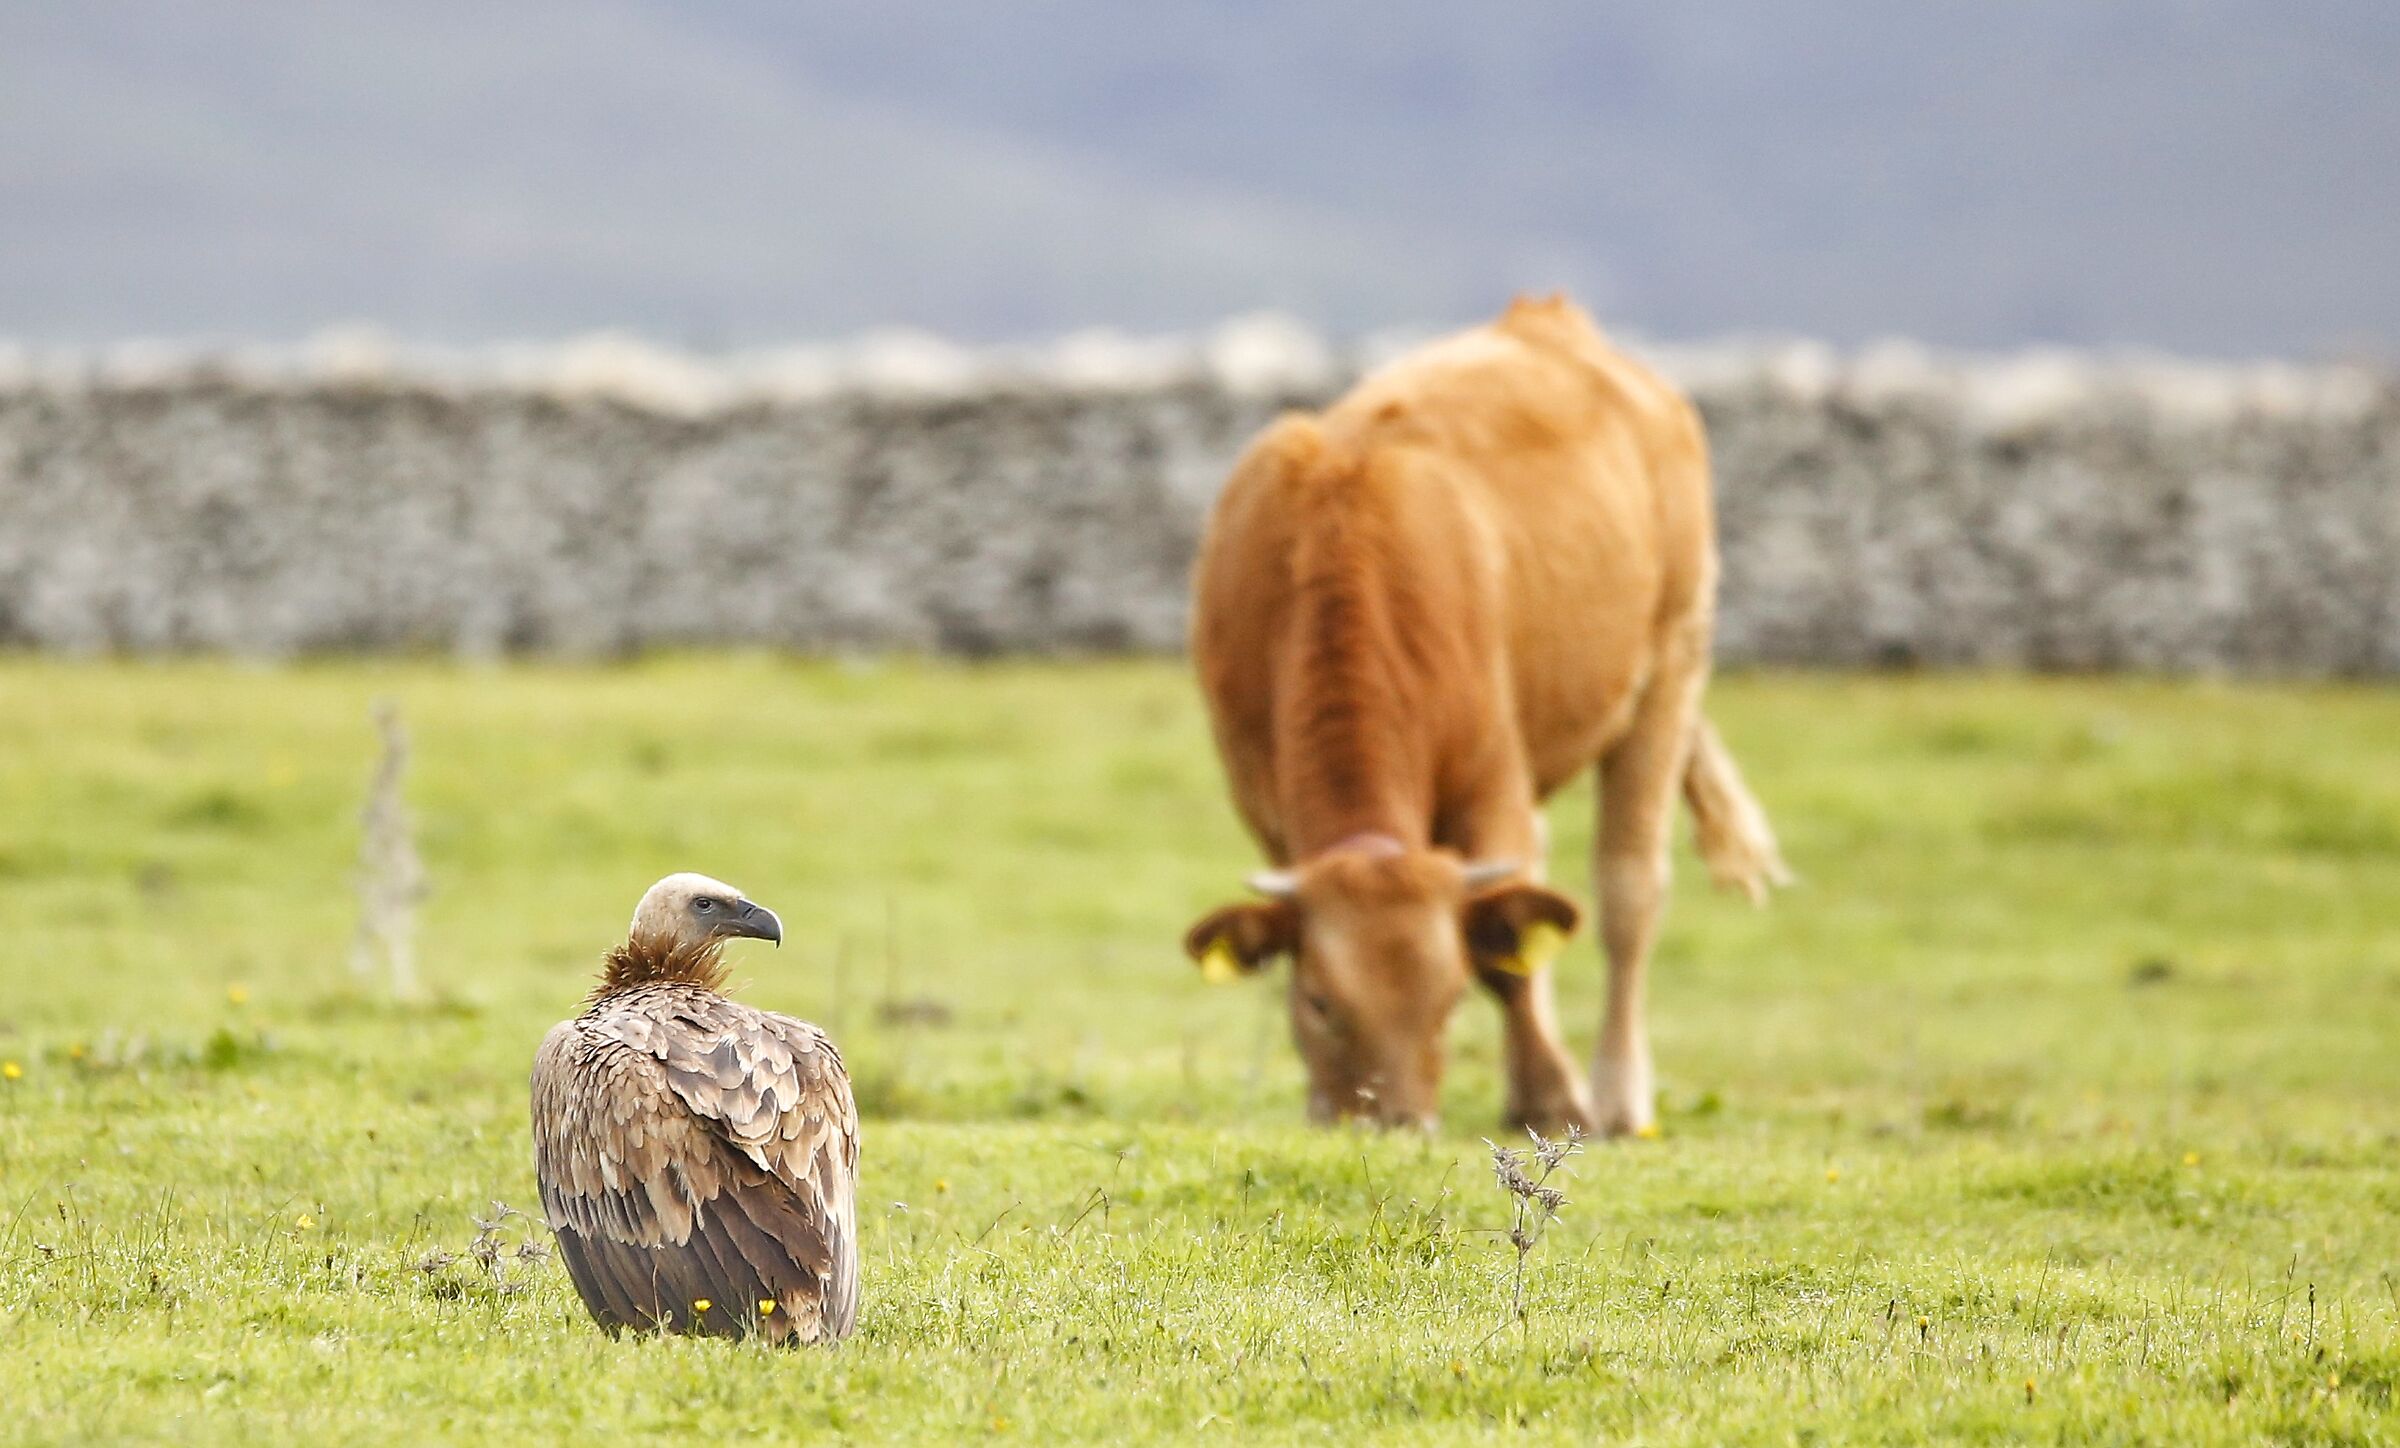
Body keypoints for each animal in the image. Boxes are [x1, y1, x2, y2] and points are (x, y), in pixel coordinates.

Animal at [1182, 295, 1788, 1135]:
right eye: (1320, 1002)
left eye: (1448, 999)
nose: (1392, 1122)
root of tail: (1549, 318)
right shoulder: (1262, 794)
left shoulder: (1492, 779)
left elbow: (1510, 957)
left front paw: (1551, 1098)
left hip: (1672, 661)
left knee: (1629, 892)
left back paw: (1619, 1094)